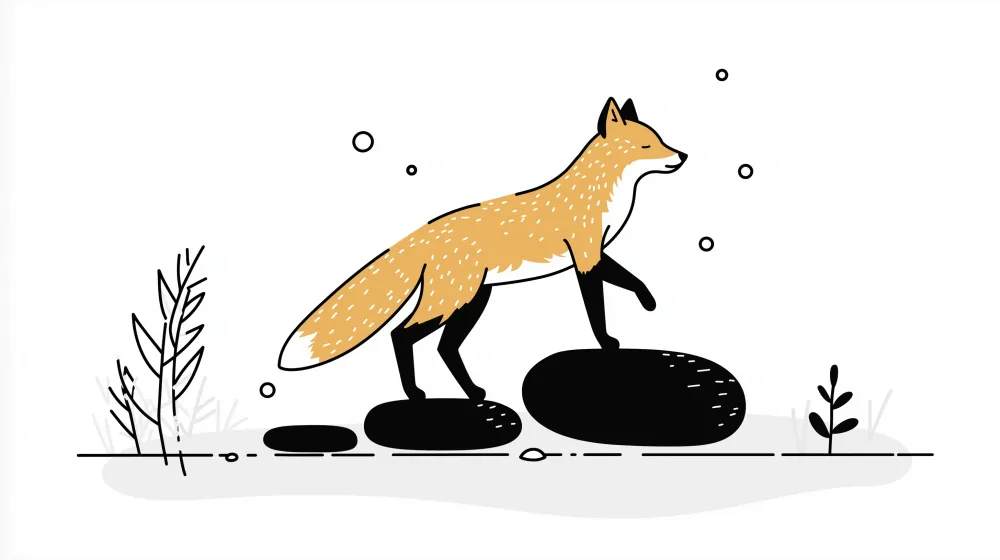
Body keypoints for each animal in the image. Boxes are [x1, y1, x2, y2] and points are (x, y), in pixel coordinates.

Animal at [278, 97, 687, 400]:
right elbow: (600, 309)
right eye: (647, 145)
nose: (682, 156)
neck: (600, 192)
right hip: (452, 301)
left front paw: (648, 303)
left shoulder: (596, 254)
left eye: (661, 139)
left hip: (473, 301)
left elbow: (631, 279)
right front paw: (612, 337)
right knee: (400, 334)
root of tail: (423, 230)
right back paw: (415, 393)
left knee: (444, 348)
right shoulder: (585, 258)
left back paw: (473, 392)